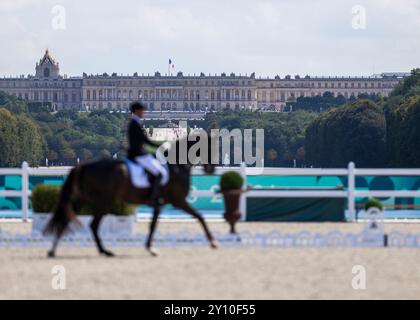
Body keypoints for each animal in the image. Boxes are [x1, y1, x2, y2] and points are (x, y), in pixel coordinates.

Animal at [44, 134, 218, 258]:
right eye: (209, 149)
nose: (211, 169)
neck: (176, 166)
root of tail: (86, 165)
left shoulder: (161, 204)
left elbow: (153, 225)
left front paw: (150, 248)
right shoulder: (178, 201)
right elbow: (200, 217)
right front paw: (213, 242)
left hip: (84, 199)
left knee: (67, 219)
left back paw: (53, 251)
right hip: (103, 201)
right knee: (92, 224)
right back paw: (104, 251)